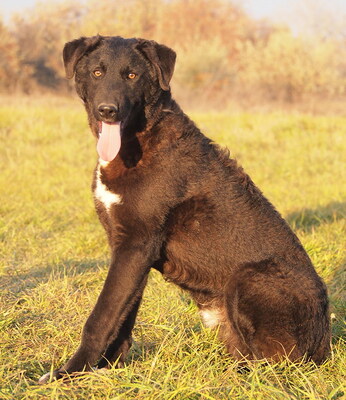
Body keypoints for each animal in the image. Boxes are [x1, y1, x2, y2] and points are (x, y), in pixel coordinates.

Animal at [37, 36, 330, 382]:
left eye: (132, 75)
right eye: (97, 72)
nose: (107, 110)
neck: (140, 138)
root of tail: (325, 342)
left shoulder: (135, 245)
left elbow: (100, 317)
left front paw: (70, 374)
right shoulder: (129, 249)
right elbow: (122, 315)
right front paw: (109, 367)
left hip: (248, 278)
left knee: (276, 365)